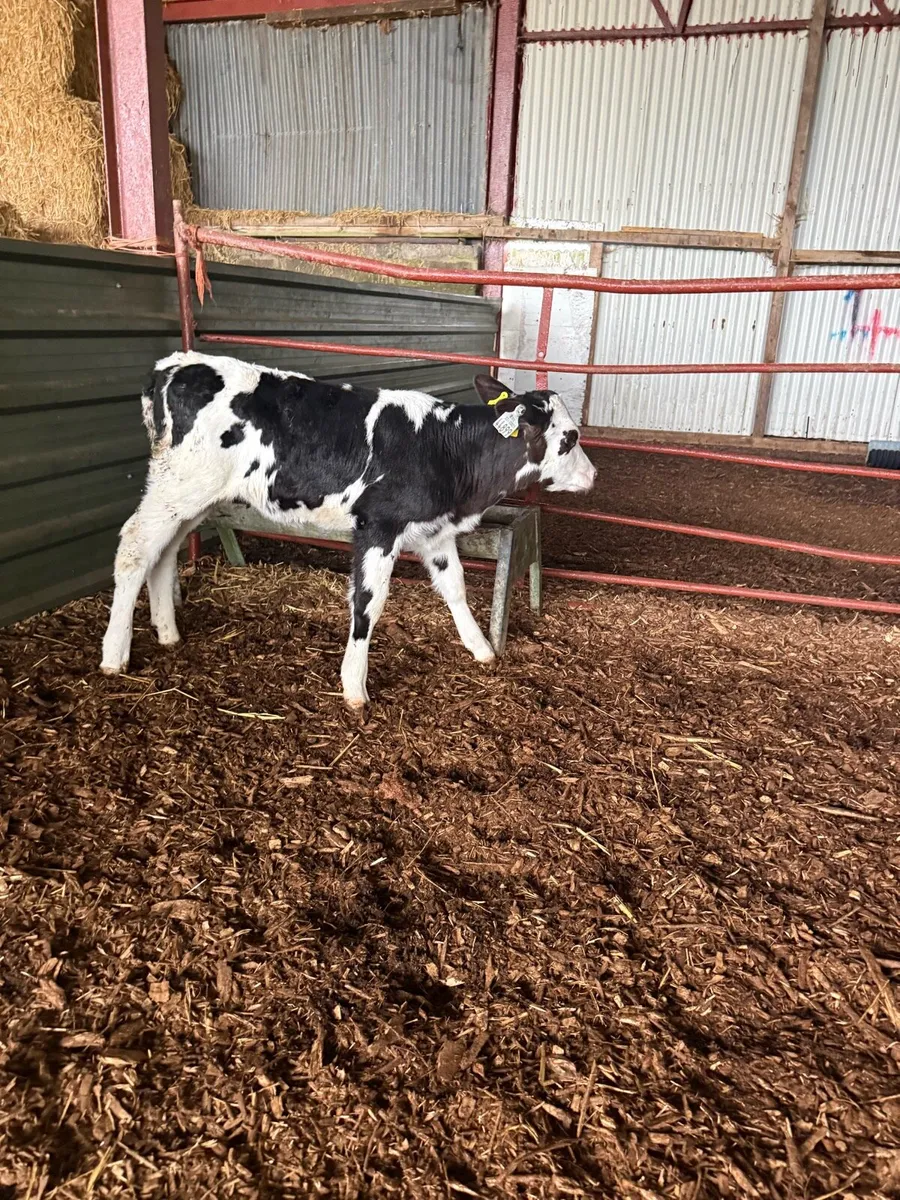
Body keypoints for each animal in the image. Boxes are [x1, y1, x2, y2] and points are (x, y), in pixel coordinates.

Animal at [100, 351, 597, 709]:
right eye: (570, 438)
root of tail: (173, 365)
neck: (446, 449)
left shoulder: (434, 532)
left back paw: (168, 632)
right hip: (178, 486)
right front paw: (354, 687)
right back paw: (114, 654)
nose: (594, 475)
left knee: (163, 553)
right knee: (134, 547)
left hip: (192, 500)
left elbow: (455, 587)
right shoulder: (378, 526)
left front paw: (481, 650)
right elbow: (368, 603)